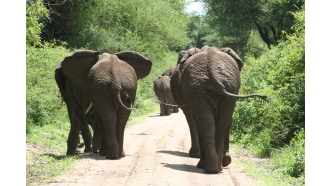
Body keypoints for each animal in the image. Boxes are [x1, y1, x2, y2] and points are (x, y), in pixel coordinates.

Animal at [173, 45, 268, 174]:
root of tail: (213, 71)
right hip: (209, 87)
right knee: (216, 124)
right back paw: (215, 167)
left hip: (217, 86)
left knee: (212, 124)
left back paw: (212, 168)